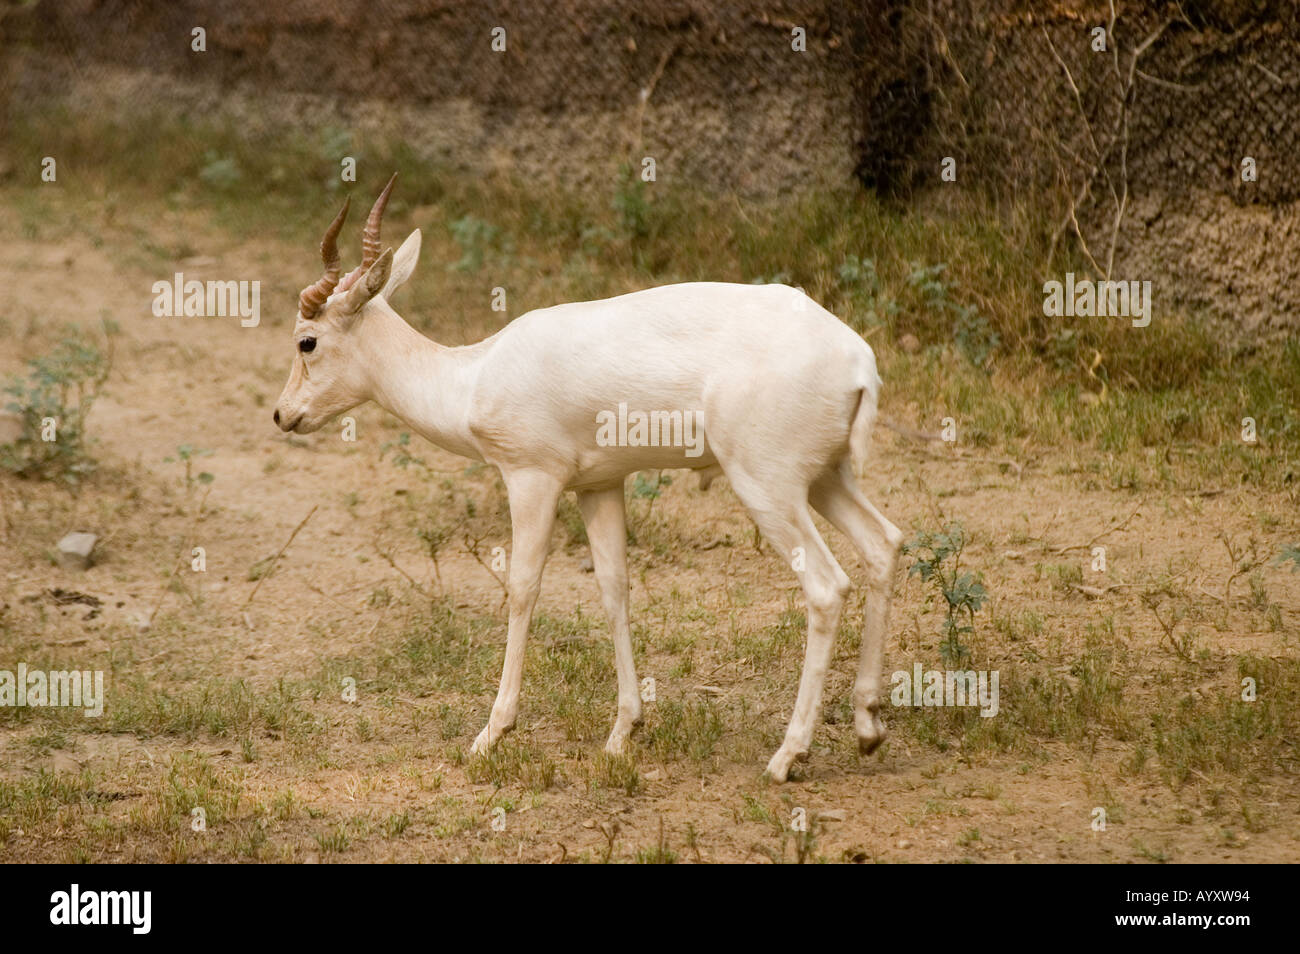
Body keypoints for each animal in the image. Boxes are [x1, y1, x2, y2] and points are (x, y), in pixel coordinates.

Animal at [274, 178, 904, 785]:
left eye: (307, 339)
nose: (283, 415)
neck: (473, 377)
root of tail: (859, 361)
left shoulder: (532, 478)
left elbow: (523, 587)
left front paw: (491, 734)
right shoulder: (598, 485)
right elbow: (614, 586)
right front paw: (624, 730)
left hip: (767, 487)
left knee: (827, 587)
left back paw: (785, 757)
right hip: (825, 479)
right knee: (884, 543)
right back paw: (868, 726)